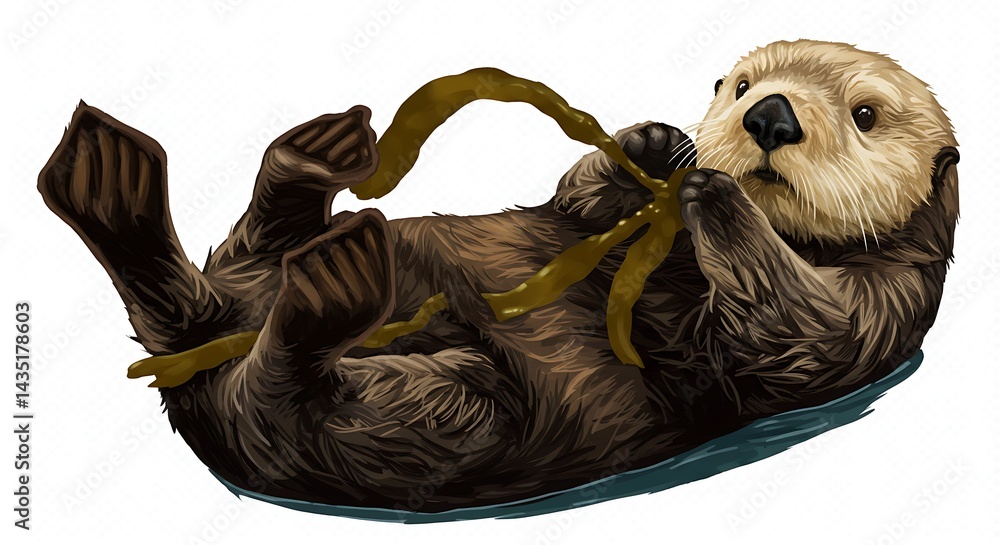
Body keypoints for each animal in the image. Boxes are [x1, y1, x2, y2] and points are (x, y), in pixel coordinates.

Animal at [38, 40, 958, 512]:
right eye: (738, 85)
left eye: (866, 114)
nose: (767, 116)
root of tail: (199, 355)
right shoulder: (584, 216)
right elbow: (576, 201)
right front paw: (659, 145)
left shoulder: (882, 303)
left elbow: (793, 334)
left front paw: (715, 193)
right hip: (267, 311)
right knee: (235, 266)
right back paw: (288, 160)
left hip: (444, 416)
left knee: (288, 395)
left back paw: (325, 284)